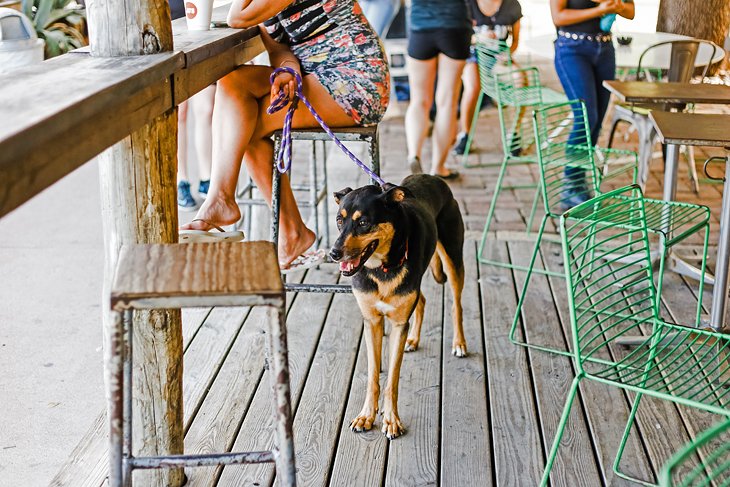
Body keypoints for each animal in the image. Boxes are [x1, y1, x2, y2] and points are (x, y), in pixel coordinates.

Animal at [330, 173, 466, 440]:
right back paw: (414, 339)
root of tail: (433, 177)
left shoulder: (398, 324)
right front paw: (366, 416)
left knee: (457, 305)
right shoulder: (372, 322)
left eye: (363, 223)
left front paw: (391, 419)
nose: (334, 253)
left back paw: (459, 343)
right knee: (422, 300)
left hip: (453, 260)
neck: (382, 269)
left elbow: (392, 379)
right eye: (339, 220)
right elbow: (373, 376)